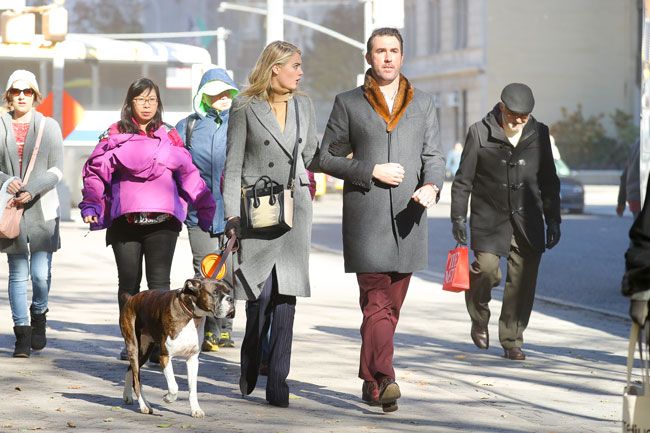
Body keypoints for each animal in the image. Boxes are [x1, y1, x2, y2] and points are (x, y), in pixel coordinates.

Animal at [119, 278, 233, 416]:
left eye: (228, 291)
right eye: (215, 292)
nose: (231, 299)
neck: (190, 314)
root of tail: (131, 299)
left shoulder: (192, 360)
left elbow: (193, 389)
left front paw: (196, 410)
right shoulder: (165, 357)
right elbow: (174, 386)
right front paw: (168, 398)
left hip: (144, 351)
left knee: (131, 370)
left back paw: (129, 396)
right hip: (133, 348)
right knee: (136, 380)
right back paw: (143, 406)